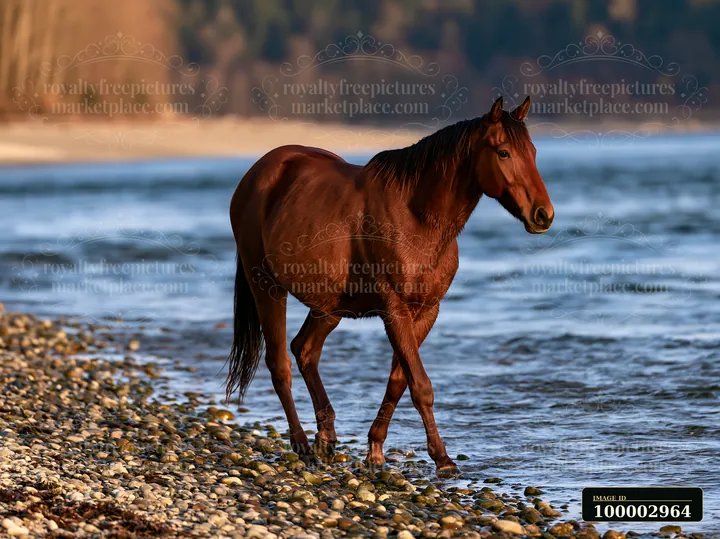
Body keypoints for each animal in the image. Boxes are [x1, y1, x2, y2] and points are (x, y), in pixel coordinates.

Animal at [226, 96, 553, 473]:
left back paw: (326, 438)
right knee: (280, 363)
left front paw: (376, 449)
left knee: (305, 350)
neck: (416, 218)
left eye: (533, 152)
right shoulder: (394, 309)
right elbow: (421, 385)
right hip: (266, 287)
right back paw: (304, 447)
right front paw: (443, 459)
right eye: (503, 152)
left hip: (330, 305)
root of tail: (257, 174)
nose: (543, 215)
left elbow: (399, 381)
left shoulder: (426, 311)